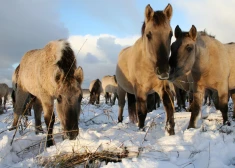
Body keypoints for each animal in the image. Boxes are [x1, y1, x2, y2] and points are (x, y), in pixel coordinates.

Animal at [115, 3, 174, 135]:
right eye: (148, 35)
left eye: (170, 34)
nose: (163, 71)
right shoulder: (140, 90)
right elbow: (142, 112)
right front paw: (141, 129)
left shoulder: (162, 88)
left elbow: (169, 106)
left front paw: (170, 130)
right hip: (121, 89)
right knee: (121, 105)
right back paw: (120, 121)